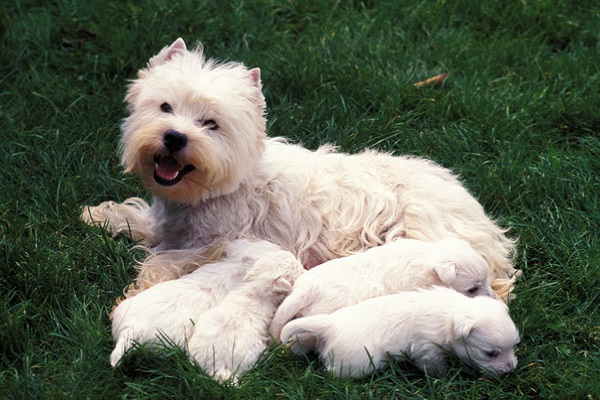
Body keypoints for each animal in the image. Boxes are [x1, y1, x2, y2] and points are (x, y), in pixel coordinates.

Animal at [282, 286, 520, 380]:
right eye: (490, 353)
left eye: (514, 346)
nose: (510, 370)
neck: (448, 315)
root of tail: (330, 324)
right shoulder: (427, 348)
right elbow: (435, 366)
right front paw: (443, 376)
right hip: (359, 362)